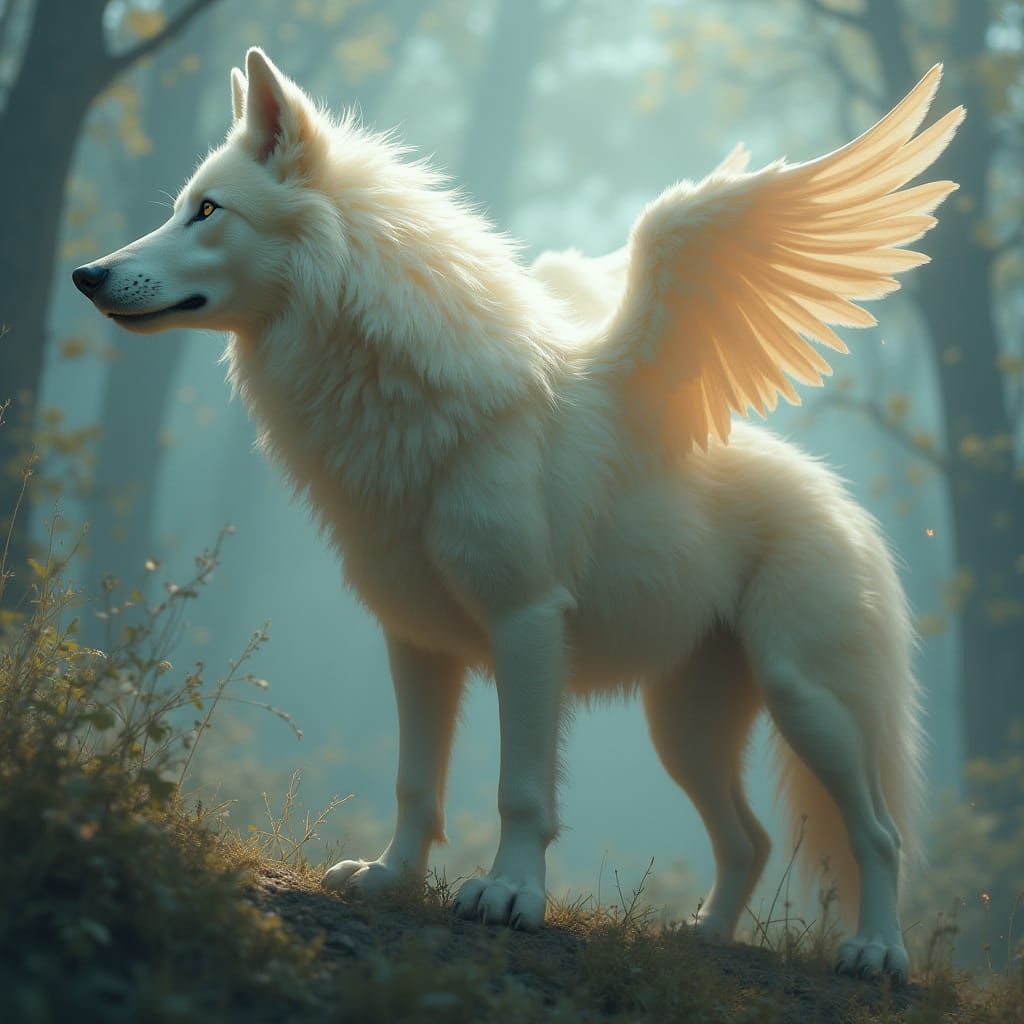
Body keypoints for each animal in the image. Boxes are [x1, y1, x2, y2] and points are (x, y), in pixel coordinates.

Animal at [73, 48, 963, 982]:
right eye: (181, 205)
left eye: (208, 211)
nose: (85, 276)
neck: (414, 412)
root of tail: (846, 502)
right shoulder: (414, 639)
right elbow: (415, 784)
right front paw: (391, 878)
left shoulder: (526, 622)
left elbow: (520, 791)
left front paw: (508, 896)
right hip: (682, 728)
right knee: (749, 840)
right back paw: (703, 936)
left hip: (804, 700)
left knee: (880, 834)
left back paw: (876, 952)